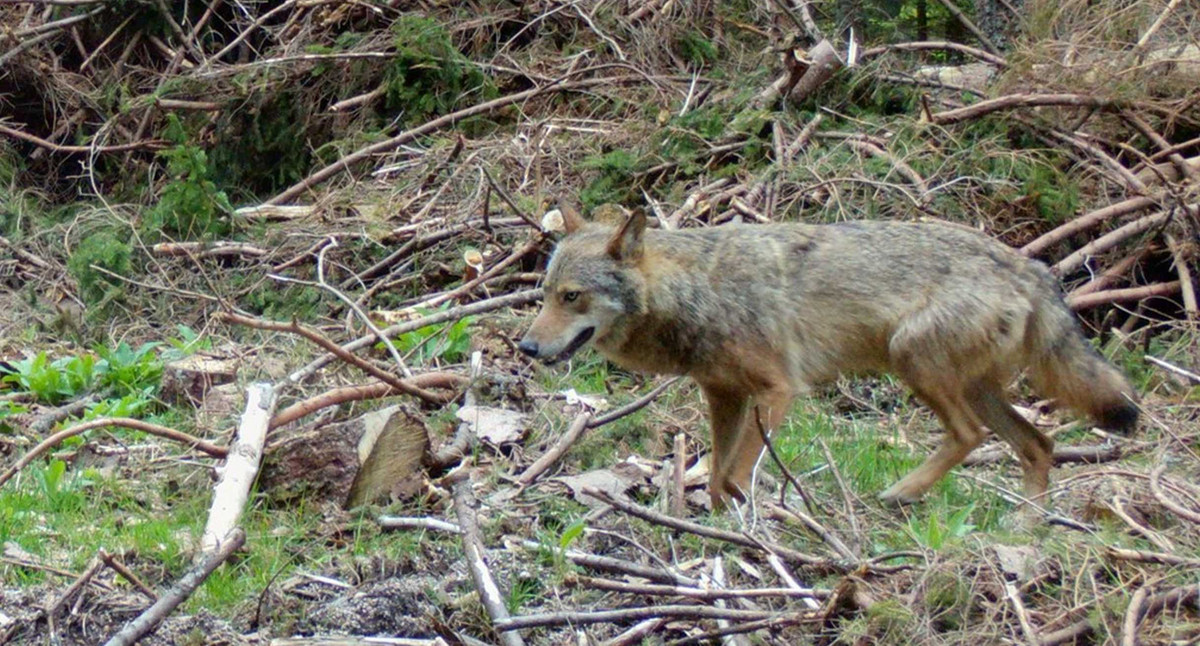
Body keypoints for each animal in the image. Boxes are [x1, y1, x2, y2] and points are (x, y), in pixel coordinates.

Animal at [518, 206, 1139, 510]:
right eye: (544, 295)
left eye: (571, 297)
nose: (525, 346)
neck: (696, 291)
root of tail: (1028, 265)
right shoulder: (724, 397)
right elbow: (715, 478)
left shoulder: (778, 391)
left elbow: (734, 476)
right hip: (976, 389)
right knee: (1040, 446)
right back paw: (1030, 529)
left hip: (913, 361)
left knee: (971, 436)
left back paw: (903, 493)